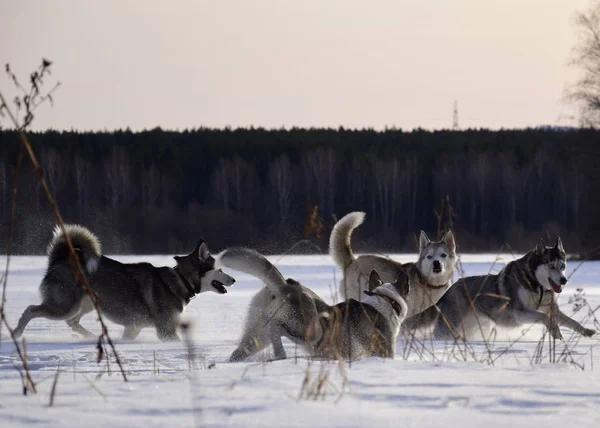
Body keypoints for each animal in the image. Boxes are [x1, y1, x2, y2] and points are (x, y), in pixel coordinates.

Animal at [14, 224, 234, 342]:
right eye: (220, 269)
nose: (234, 279)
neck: (181, 279)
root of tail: (59, 259)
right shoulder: (165, 330)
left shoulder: (133, 327)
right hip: (65, 306)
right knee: (31, 310)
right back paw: (15, 333)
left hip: (86, 304)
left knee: (72, 322)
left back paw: (92, 337)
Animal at [216, 247, 408, 362]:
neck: (385, 300)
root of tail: (288, 284)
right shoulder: (385, 352)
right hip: (313, 331)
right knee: (278, 328)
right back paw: (281, 354)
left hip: (256, 336)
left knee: (240, 351)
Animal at [404, 237, 596, 342]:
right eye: (551, 266)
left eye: (562, 265)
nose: (564, 280)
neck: (537, 285)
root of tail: (449, 290)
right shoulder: (520, 312)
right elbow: (545, 318)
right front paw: (555, 333)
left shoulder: (552, 308)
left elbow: (571, 321)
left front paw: (586, 331)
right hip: (449, 325)